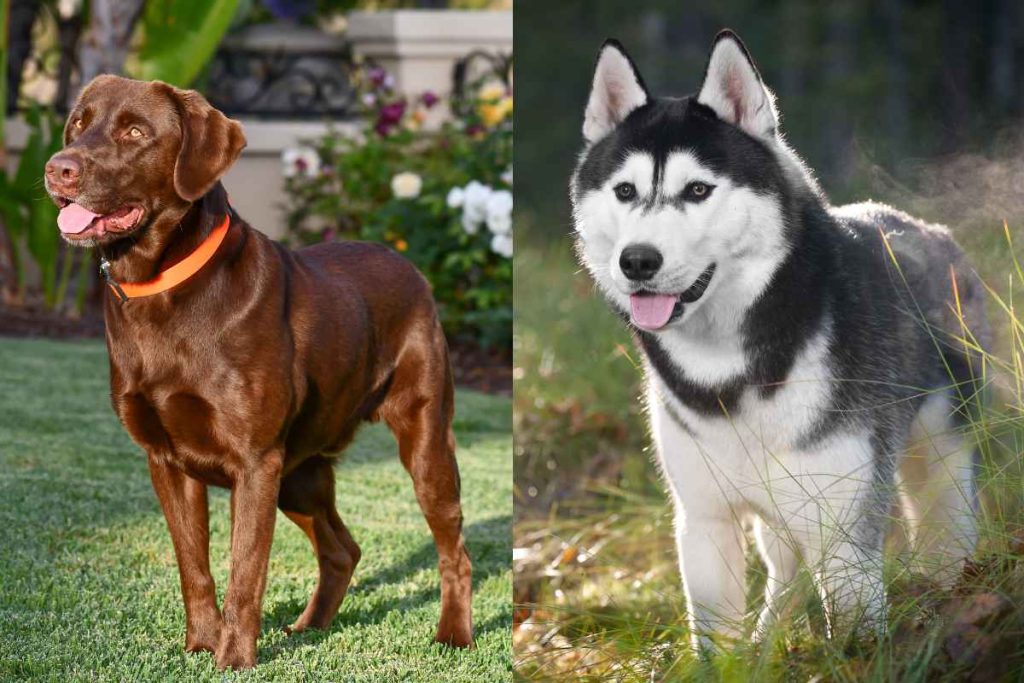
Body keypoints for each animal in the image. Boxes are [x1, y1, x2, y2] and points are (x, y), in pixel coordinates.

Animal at [40, 74, 471, 667]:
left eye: (135, 132)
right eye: (78, 125)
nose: (57, 169)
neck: (160, 288)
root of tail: (409, 265)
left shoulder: (254, 462)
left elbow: (245, 571)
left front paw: (234, 660)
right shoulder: (166, 461)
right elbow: (194, 566)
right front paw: (200, 646)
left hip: (421, 441)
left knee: (453, 546)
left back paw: (454, 635)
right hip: (300, 473)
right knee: (343, 549)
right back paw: (310, 627)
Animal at [573, 29, 987, 651]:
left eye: (698, 189)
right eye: (625, 190)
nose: (638, 261)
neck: (732, 370)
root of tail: (930, 230)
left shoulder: (845, 532)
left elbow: (855, 632)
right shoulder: (704, 521)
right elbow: (717, 644)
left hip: (938, 461)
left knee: (945, 528)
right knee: (785, 571)